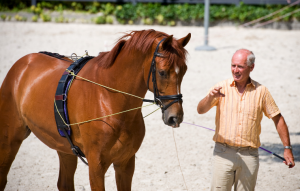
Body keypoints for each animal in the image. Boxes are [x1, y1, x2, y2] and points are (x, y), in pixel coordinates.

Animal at [0, 29, 191, 191]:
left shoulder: (125, 163)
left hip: (65, 148)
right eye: (162, 72)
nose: (175, 117)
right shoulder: (96, 166)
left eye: (184, 71)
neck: (109, 100)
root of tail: (23, 63)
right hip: (10, 140)